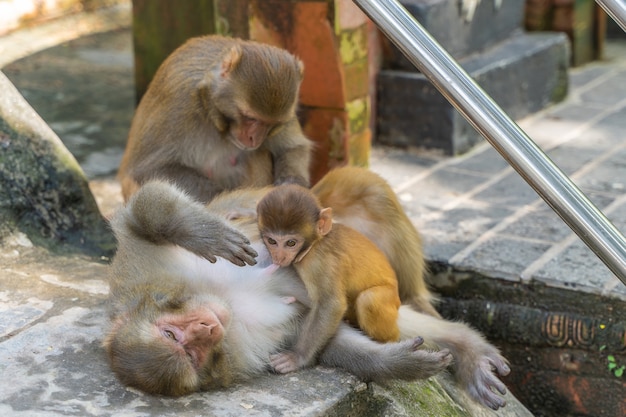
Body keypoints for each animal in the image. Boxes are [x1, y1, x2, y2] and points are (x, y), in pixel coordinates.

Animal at [116, 35, 310, 204]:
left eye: (273, 124)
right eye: (250, 117)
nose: (255, 138)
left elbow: (293, 147)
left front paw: (290, 185)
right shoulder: (178, 102)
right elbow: (149, 169)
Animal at [258, 184, 400, 372]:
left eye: (291, 243)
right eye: (272, 241)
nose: (279, 257)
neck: (314, 244)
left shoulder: (319, 262)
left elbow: (331, 304)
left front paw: (298, 357)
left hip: (390, 298)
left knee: (369, 299)